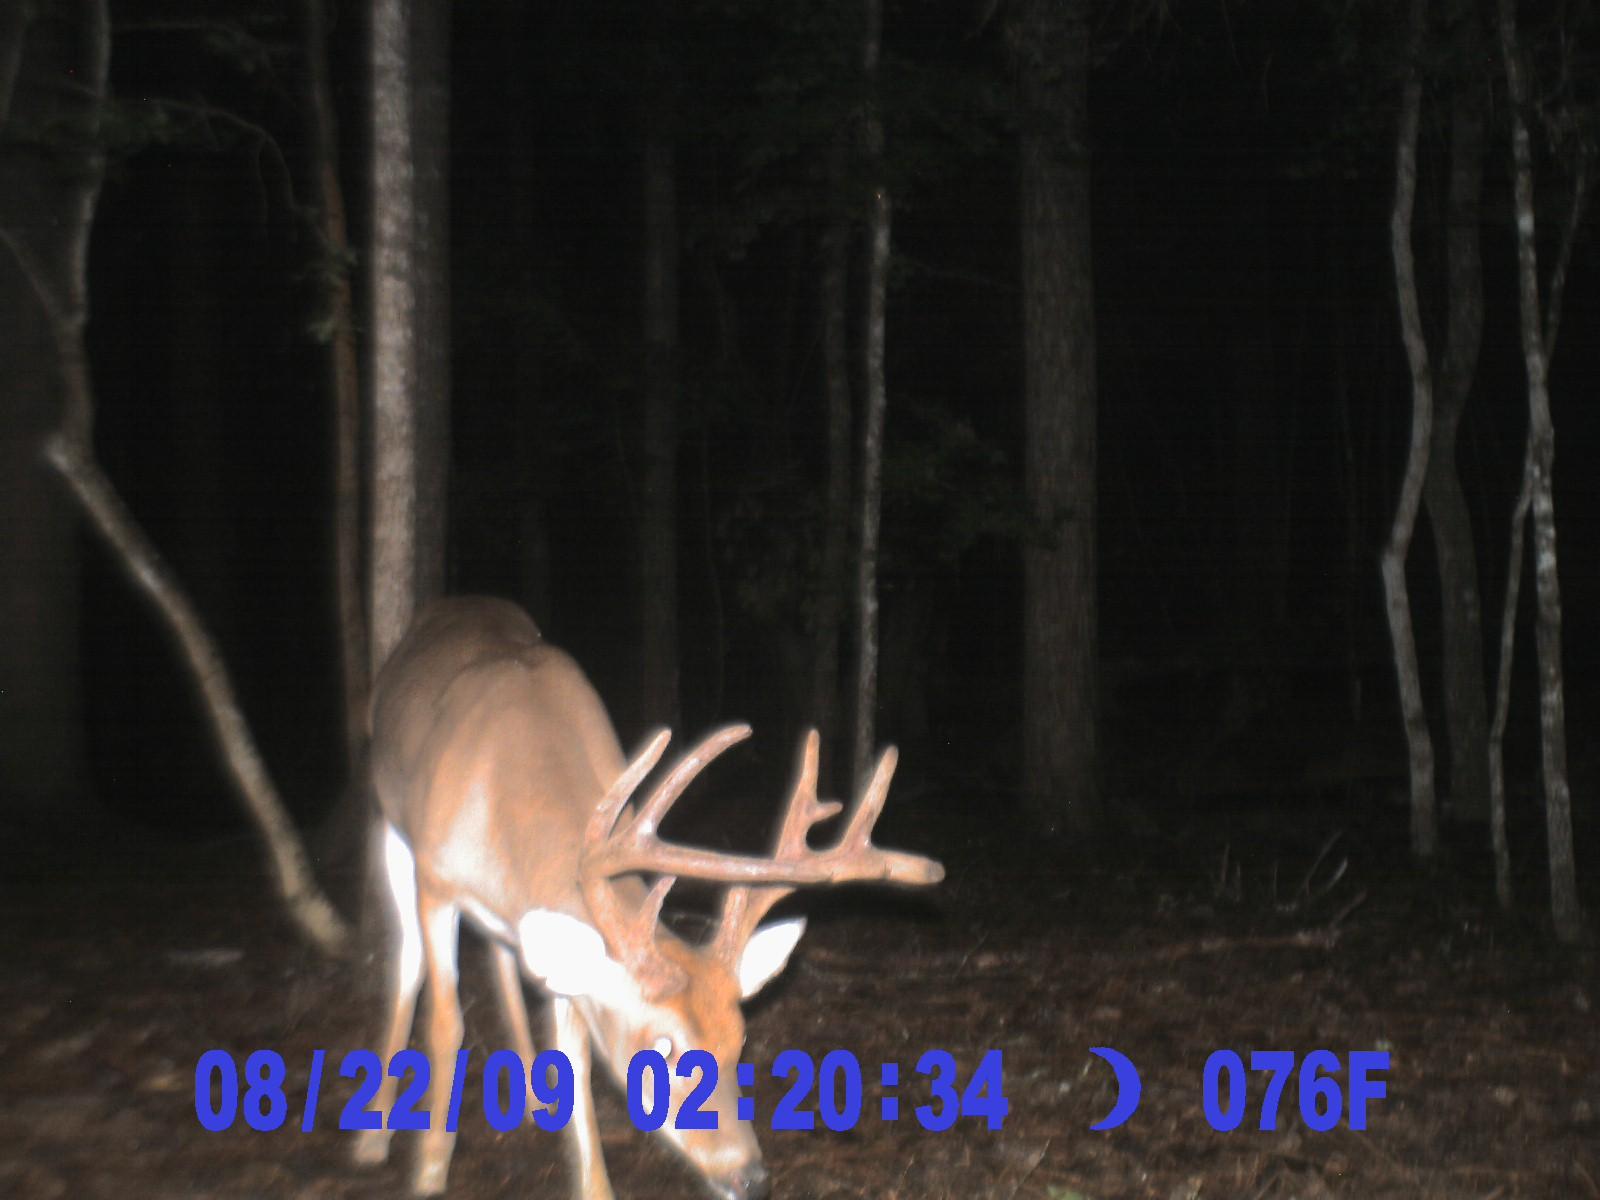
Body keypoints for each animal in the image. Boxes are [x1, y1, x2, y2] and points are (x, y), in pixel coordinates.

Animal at [352, 596, 944, 1199]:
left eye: (739, 1038)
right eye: (662, 1047)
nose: (749, 1176)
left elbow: (574, 1057)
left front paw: (593, 1184)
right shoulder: (436, 881)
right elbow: (446, 1022)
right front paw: (428, 1171)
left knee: (502, 955)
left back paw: (532, 1098)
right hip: (389, 823)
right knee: (408, 965)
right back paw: (373, 1135)